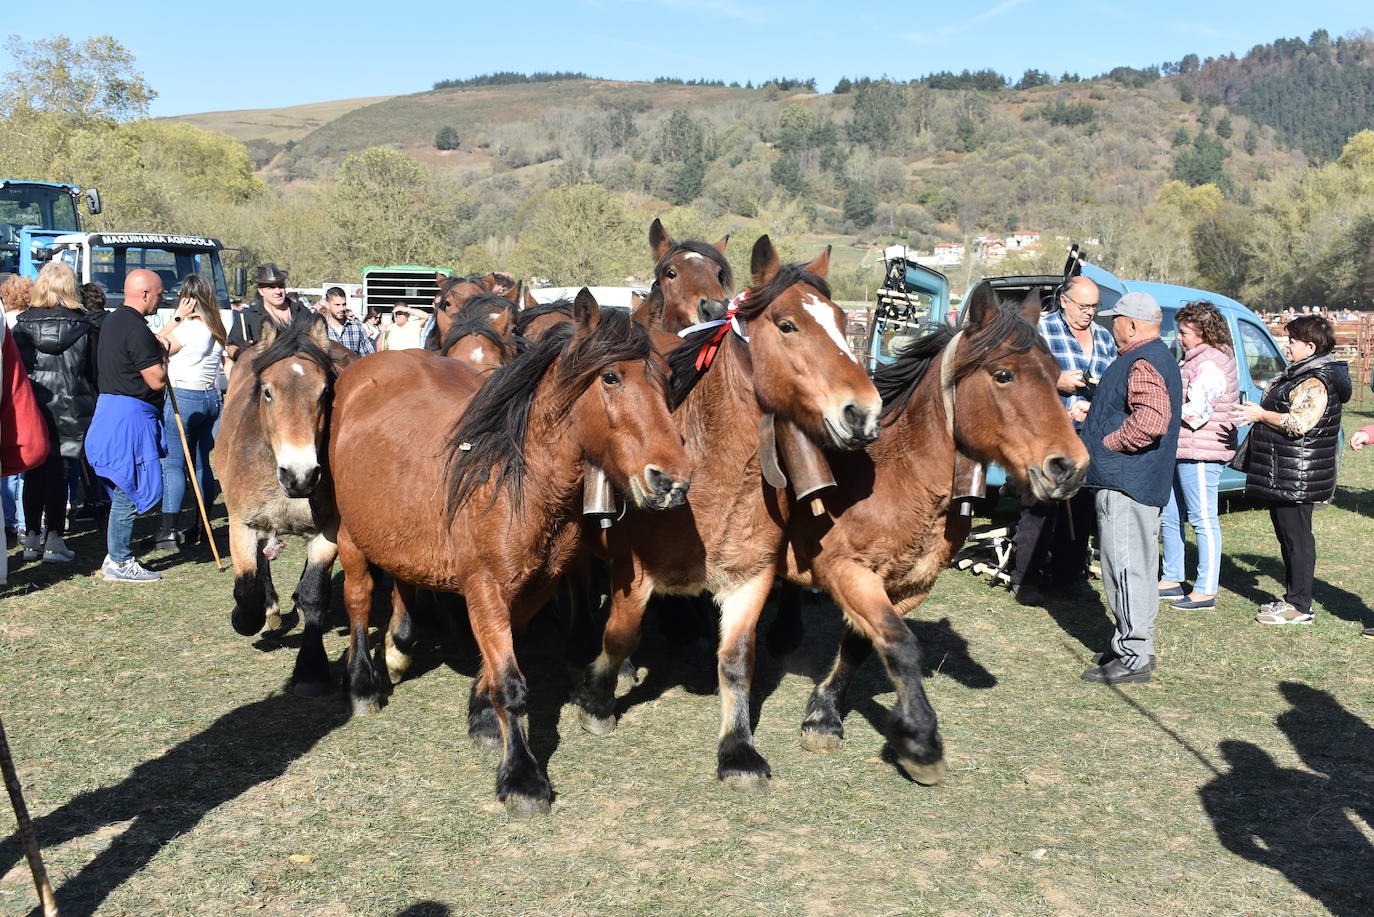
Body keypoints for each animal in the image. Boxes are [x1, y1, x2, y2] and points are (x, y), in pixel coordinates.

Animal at [218, 316, 354, 695]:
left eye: (324, 392)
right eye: (267, 391)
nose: (300, 475)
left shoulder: (329, 529)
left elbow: (314, 593)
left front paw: (310, 670)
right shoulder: (242, 525)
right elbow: (246, 589)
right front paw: (247, 618)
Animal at [328, 292, 692, 819]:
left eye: (665, 379)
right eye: (611, 377)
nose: (672, 481)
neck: (516, 482)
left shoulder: (535, 587)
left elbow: (498, 664)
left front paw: (481, 717)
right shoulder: (484, 586)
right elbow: (511, 684)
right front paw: (522, 777)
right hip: (352, 537)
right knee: (358, 599)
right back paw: (362, 684)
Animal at [571, 235, 879, 797]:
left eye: (844, 319)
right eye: (787, 324)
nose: (864, 411)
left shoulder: (750, 578)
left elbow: (737, 662)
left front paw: (738, 751)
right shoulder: (633, 573)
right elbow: (620, 633)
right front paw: (597, 700)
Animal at [785, 284, 1082, 780]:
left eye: (1057, 375)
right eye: (1003, 375)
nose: (1069, 468)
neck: (898, 476)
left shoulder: (906, 584)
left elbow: (864, 644)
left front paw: (825, 714)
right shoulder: (846, 570)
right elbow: (902, 646)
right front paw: (920, 741)